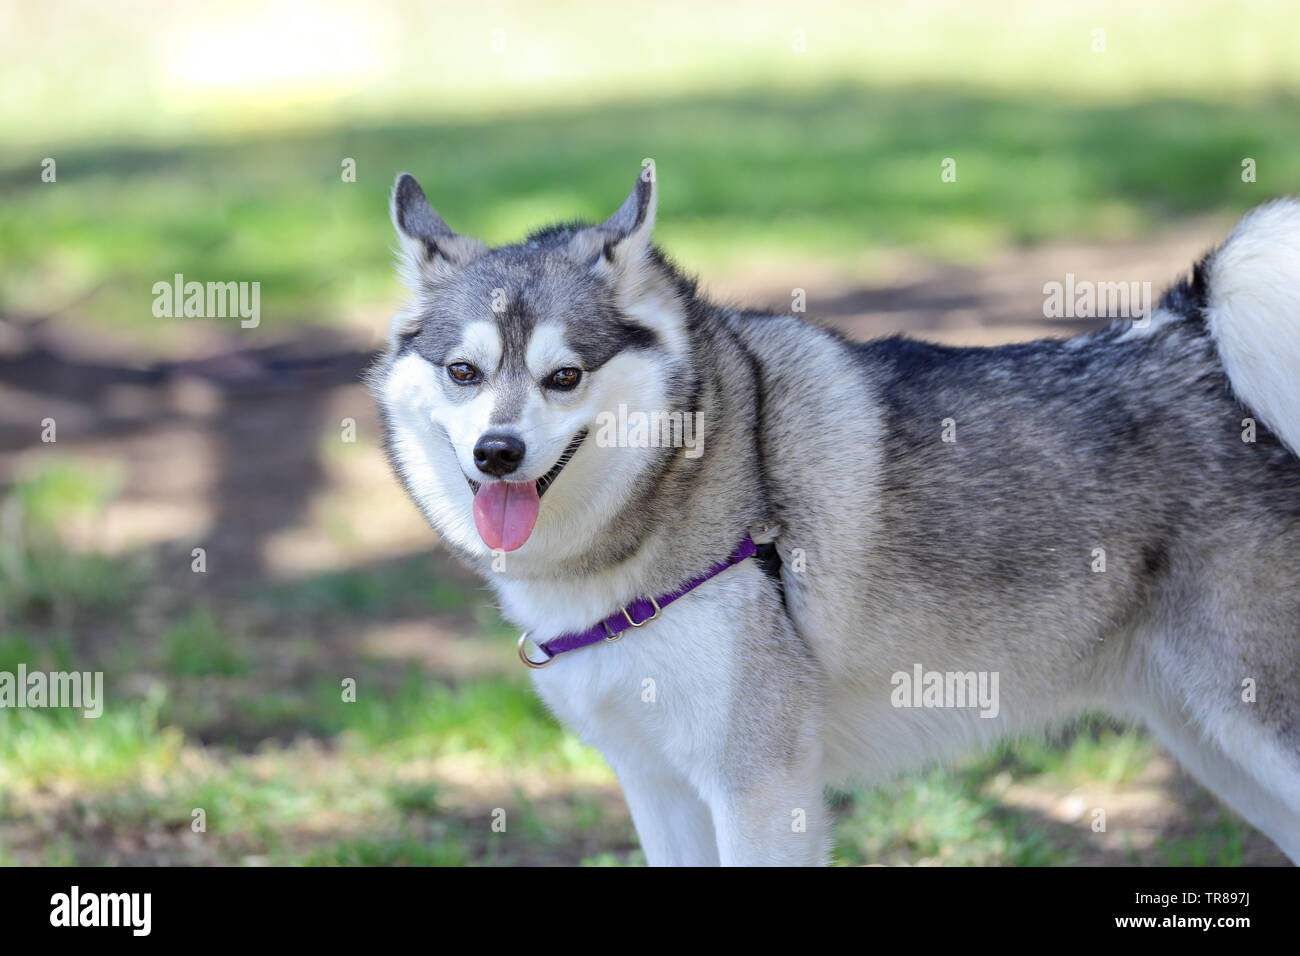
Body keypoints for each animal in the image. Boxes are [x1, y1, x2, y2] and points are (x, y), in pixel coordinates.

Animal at [366, 166, 1300, 868]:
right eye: (462, 372)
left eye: (564, 377)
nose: (497, 453)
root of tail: (1193, 332)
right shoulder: (658, 788)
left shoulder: (760, 788)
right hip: (1212, 741)